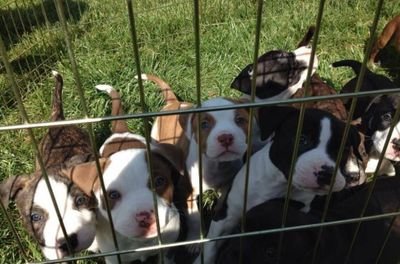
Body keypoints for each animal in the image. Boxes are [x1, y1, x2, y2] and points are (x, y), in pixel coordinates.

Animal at [67, 85, 192, 262]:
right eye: (112, 195)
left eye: (159, 181)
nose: (145, 216)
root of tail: (121, 133)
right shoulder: (114, 258)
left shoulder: (166, 249)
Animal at [194, 105, 368, 264]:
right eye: (302, 140)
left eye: (344, 150)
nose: (326, 173)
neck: (280, 185)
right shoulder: (227, 216)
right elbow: (211, 247)